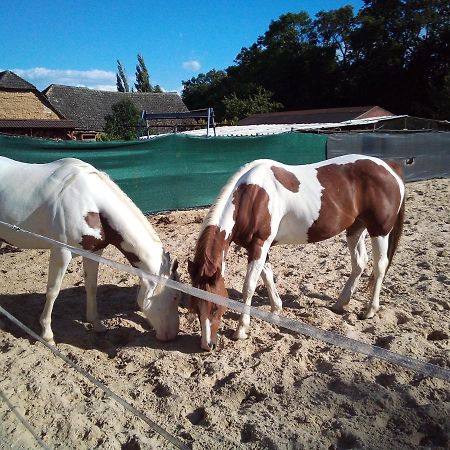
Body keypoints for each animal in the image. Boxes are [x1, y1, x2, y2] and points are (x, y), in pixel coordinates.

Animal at [1, 156, 181, 342]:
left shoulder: (93, 252)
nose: (172, 336)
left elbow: (91, 287)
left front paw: (97, 325)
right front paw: (47, 334)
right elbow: (52, 291)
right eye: (175, 297)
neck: (89, 201)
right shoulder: (61, 252)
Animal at [188, 156, 406, 352]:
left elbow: (249, 287)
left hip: (379, 230)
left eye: (215, 307)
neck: (251, 196)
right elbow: (268, 276)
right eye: (195, 307)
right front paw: (276, 309)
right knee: (359, 263)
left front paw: (241, 329)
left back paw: (370, 310)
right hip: (355, 229)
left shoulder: (260, 245)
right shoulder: (257, 248)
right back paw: (340, 304)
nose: (207, 345)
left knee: (380, 266)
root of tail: (390, 167)